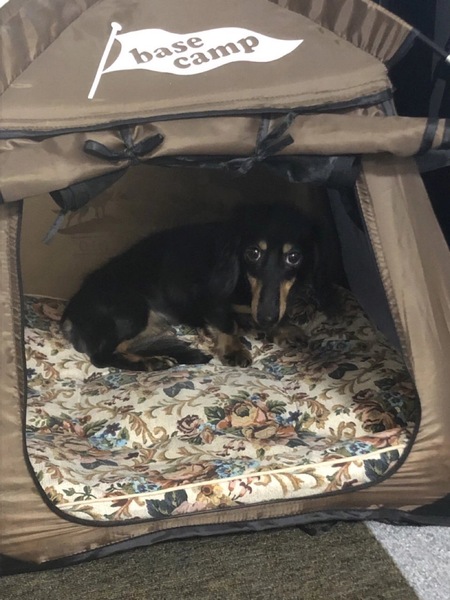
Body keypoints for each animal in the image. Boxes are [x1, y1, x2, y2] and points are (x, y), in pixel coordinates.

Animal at [61, 203, 336, 371]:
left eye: (294, 257)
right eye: (253, 253)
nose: (266, 318)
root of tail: (68, 315)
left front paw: (284, 328)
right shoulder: (210, 298)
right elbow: (227, 323)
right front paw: (234, 349)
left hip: (153, 325)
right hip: (131, 311)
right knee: (101, 357)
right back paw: (152, 363)